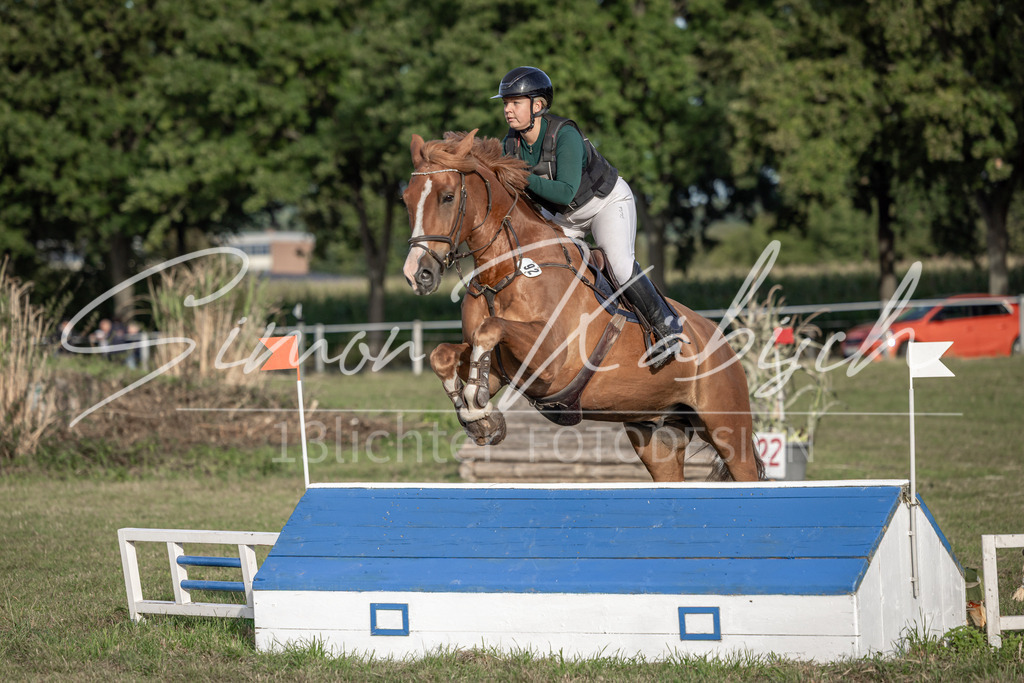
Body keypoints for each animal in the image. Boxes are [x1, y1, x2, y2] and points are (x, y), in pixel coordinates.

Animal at [401, 129, 764, 482]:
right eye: (407, 199)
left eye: (448, 197)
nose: (417, 274)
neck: (503, 271)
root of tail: (721, 341)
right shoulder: (503, 371)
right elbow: (444, 355)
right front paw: (476, 414)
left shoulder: (549, 361)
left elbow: (490, 329)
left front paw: (478, 411)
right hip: (656, 434)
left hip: (728, 430)